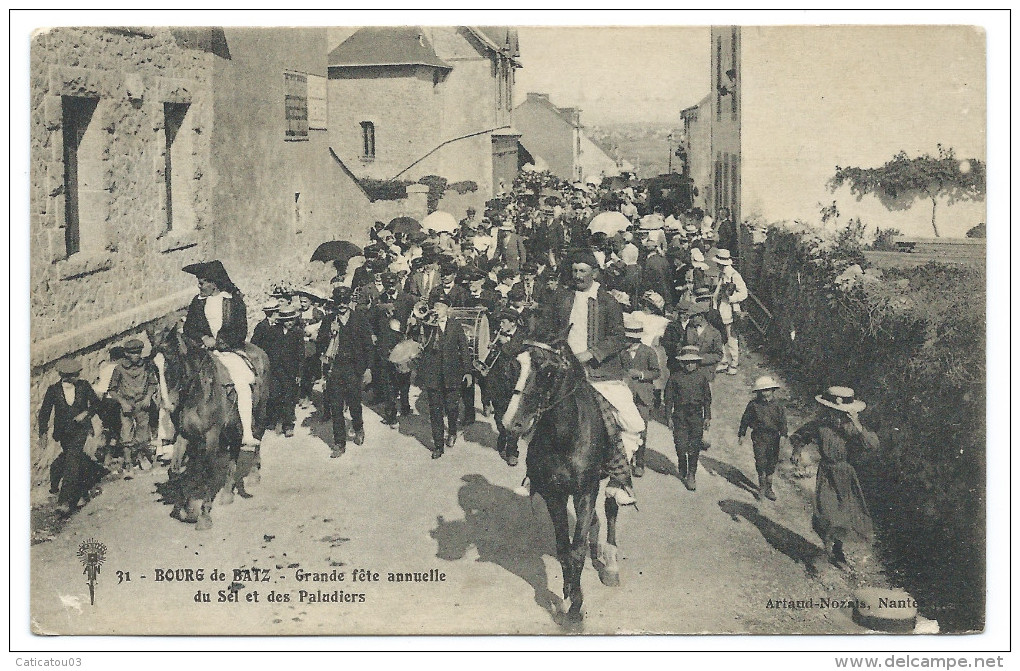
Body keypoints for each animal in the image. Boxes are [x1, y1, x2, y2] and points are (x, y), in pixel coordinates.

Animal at [153, 324, 269, 526]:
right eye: (152, 366)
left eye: (173, 361)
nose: (167, 404)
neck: (196, 393)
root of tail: (258, 350)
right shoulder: (184, 434)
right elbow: (174, 471)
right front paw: (186, 509)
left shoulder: (211, 434)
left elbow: (208, 471)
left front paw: (204, 515)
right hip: (232, 425)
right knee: (234, 451)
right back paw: (228, 493)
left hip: (259, 412)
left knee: (258, 439)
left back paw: (254, 475)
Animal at [501, 334, 620, 620]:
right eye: (513, 367)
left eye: (548, 372)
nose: (511, 423)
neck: (565, 437)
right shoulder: (554, 494)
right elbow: (564, 548)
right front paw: (567, 593)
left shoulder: (586, 491)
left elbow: (576, 550)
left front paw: (575, 604)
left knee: (611, 506)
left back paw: (611, 563)